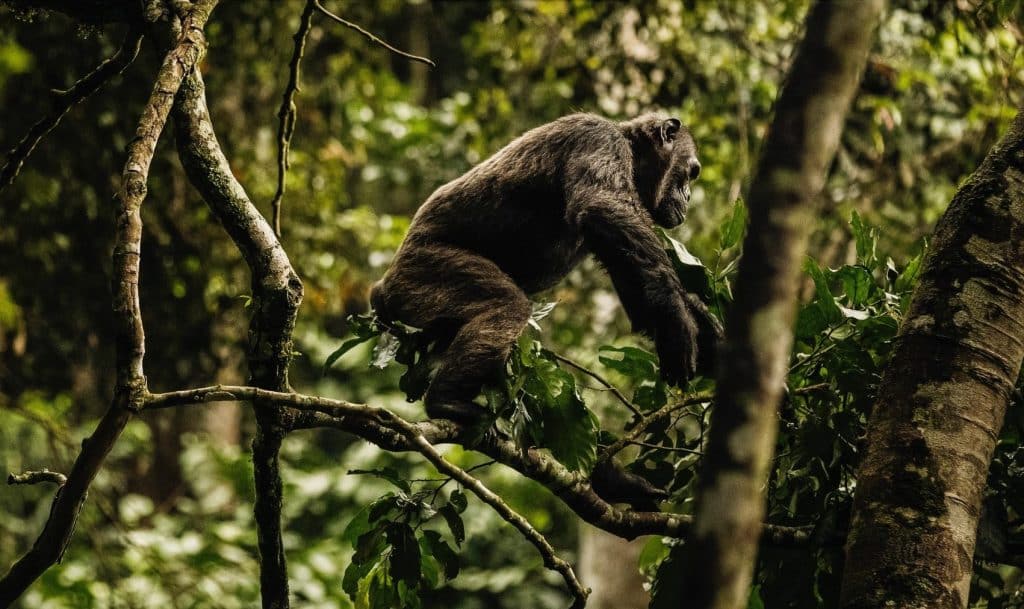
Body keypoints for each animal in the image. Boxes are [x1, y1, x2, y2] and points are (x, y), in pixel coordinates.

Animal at [371, 112, 721, 425]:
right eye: (691, 173)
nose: (689, 195)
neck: (632, 154)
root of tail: (382, 288)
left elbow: (639, 289)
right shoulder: (598, 140)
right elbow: (603, 208)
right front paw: (678, 325)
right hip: (424, 272)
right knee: (505, 307)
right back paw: (446, 402)